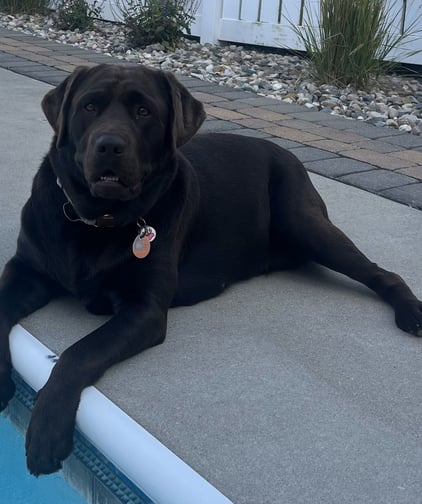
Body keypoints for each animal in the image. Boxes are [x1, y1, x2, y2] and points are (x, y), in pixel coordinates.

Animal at [0, 64, 420, 476]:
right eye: (89, 107)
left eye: (143, 111)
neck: (96, 221)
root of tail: (286, 153)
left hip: (305, 223)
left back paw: (411, 312)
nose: (109, 145)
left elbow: (79, 353)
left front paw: (48, 429)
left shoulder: (145, 309)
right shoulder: (26, 268)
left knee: (382, 273)